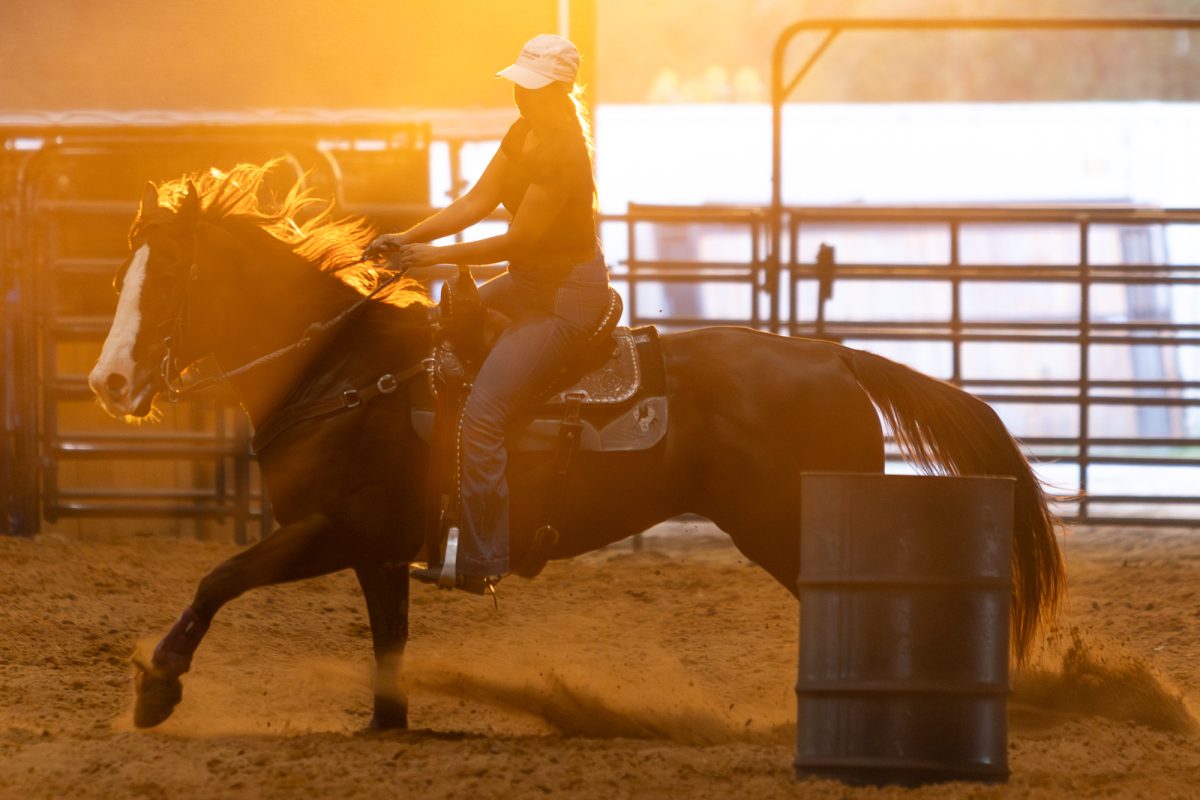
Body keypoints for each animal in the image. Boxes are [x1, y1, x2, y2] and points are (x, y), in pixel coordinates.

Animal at [91, 163, 1070, 734]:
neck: (342, 372)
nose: (107, 382)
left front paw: (157, 687)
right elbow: (386, 644)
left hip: (797, 533)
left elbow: (220, 577)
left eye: (170, 276)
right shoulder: (375, 551)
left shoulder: (335, 528)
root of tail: (831, 355)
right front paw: (386, 724)